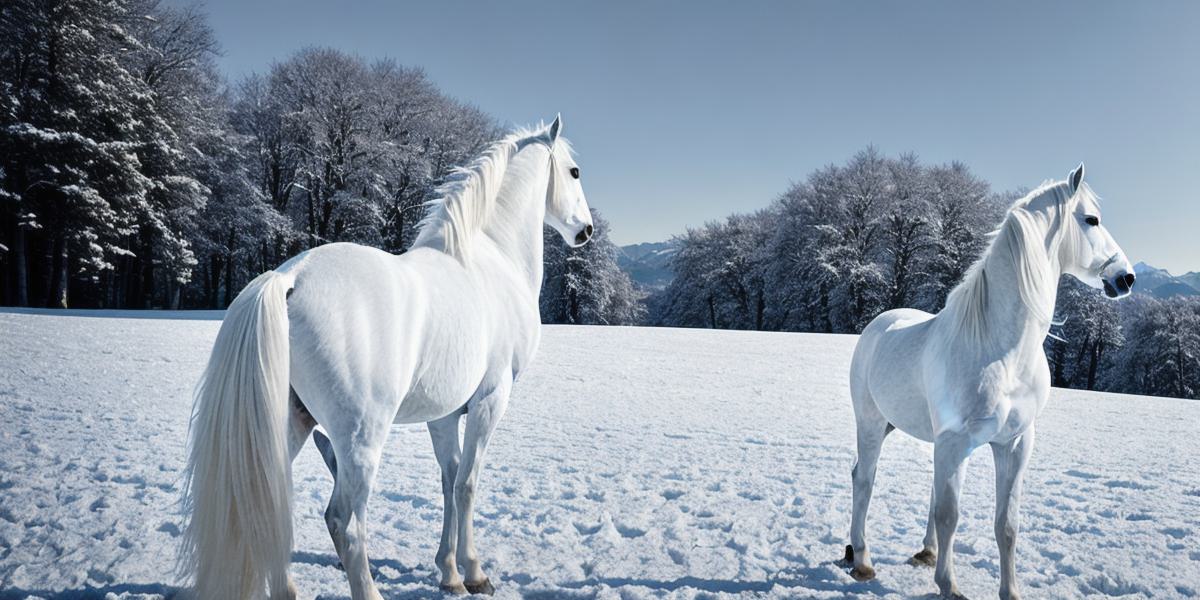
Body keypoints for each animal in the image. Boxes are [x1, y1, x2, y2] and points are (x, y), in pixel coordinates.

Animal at [176, 114, 595, 597]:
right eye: (574, 171)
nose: (586, 231)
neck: (490, 259)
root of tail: (290, 277)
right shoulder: (491, 399)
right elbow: (468, 484)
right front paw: (474, 572)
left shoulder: (444, 415)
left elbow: (449, 480)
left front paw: (449, 572)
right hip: (362, 437)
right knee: (343, 522)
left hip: (292, 421)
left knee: (271, 505)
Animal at [844, 165, 1132, 600]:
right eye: (1092, 219)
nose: (1125, 277)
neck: (1002, 351)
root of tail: (880, 323)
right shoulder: (955, 442)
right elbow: (950, 515)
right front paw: (949, 586)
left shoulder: (1013, 444)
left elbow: (1006, 524)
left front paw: (1009, 590)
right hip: (872, 424)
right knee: (865, 479)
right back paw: (861, 559)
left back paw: (922, 552)